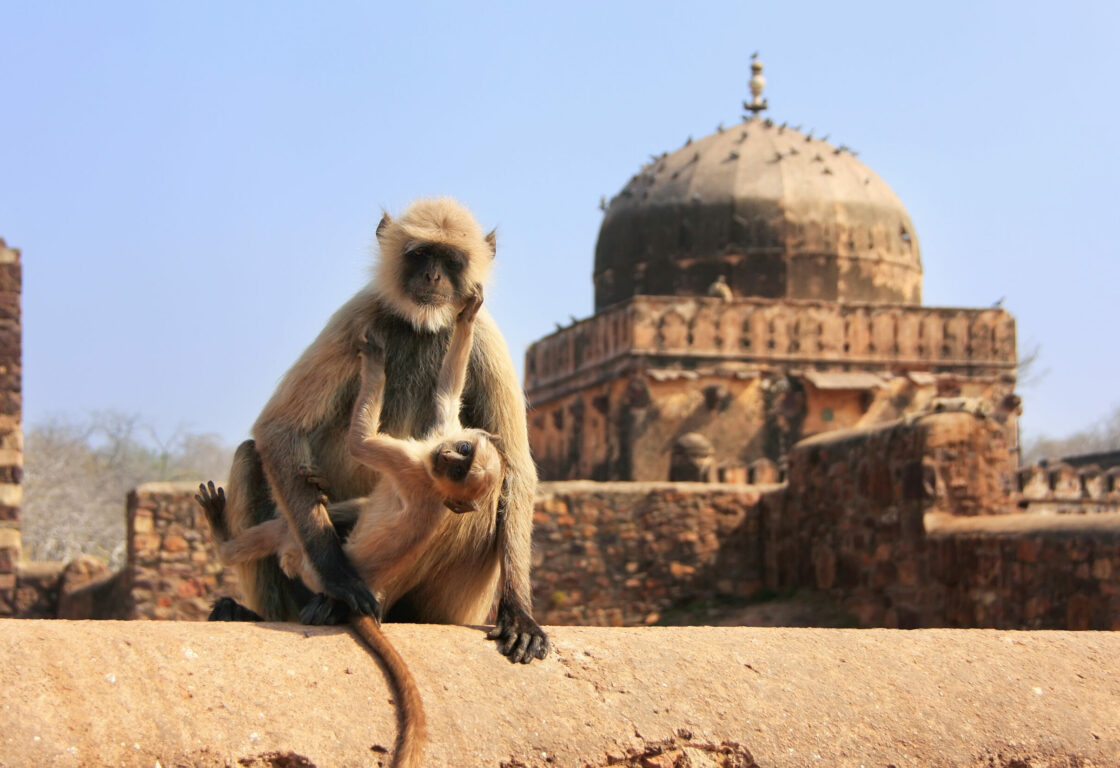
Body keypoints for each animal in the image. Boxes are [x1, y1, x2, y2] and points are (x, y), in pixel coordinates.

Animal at [215, 197, 548, 664]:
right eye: (421, 255)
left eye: (450, 260)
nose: (432, 277)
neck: (422, 325)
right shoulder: (358, 315)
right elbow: (279, 428)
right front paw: (340, 579)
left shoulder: (488, 337)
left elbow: (515, 466)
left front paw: (519, 614)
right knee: (249, 455)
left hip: (455, 604)